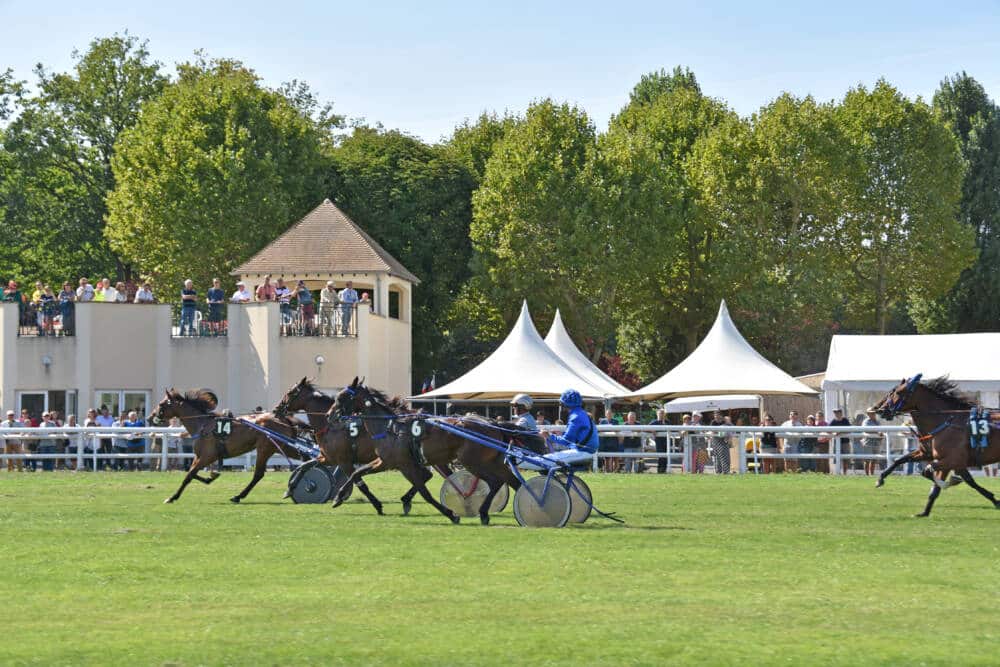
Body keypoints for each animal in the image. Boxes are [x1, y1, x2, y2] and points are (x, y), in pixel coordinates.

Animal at [150, 388, 302, 504]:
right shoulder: (199, 456)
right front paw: (211, 476)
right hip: (282, 447)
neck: (203, 425)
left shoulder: (208, 456)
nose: (150, 417)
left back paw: (238, 496)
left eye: (161, 404)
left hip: (265, 449)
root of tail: (283, 419)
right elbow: (192, 474)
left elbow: (189, 475)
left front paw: (172, 497)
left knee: (258, 474)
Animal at [332, 378, 544, 524]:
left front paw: (451, 514)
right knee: (513, 482)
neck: (390, 427)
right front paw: (338, 497)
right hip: (494, 461)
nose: (331, 414)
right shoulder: (385, 462)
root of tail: (493, 424)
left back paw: (489, 512)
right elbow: (357, 473)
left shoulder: (404, 465)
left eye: (342, 396)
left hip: (472, 461)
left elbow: (425, 492)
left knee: (495, 482)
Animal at [868, 376, 1000, 516]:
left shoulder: (951, 460)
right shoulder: (933, 455)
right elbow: (900, 460)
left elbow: (927, 472)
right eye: (892, 391)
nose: (880, 410)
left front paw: (950, 482)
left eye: (897, 392)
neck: (947, 422)